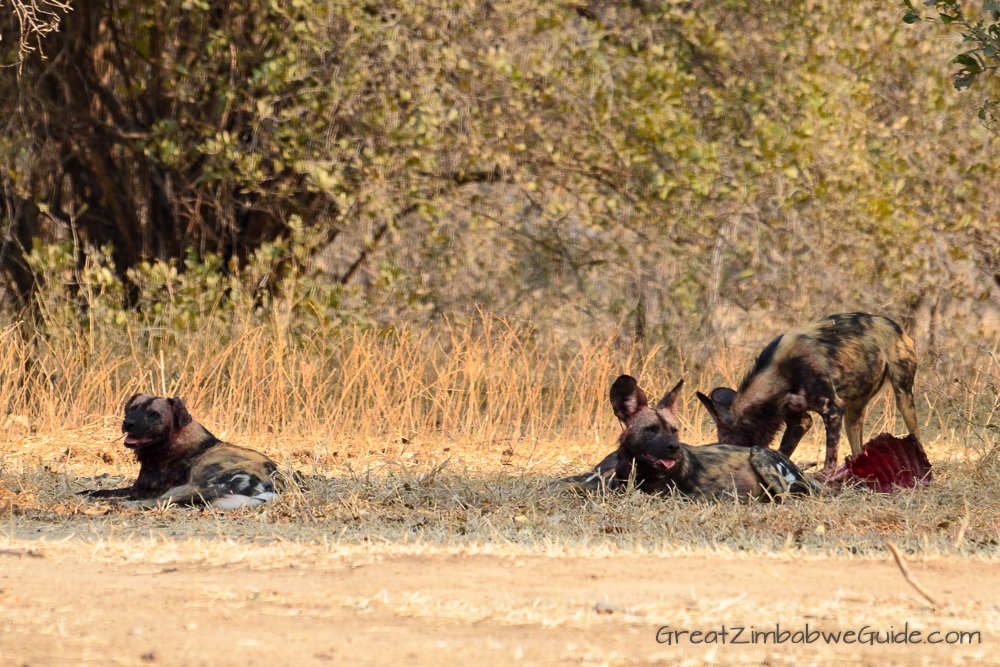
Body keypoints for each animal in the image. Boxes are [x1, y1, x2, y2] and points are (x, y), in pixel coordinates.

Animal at [80, 394, 286, 508]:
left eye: (155, 415)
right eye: (132, 408)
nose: (128, 423)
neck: (174, 441)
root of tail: (273, 483)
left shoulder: (139, 491)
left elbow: (101, 491)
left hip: (192, 487)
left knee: (158, 502)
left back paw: (120, 505)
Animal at [696, 312, 920, 474]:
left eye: (727, 444)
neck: (778, 371)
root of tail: (897, 327)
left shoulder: (832, 409)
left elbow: (830, 458)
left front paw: (825, 477)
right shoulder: (798, 420)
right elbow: (783, 451)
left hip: (903, 398)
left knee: (915, 435)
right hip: (854, 412)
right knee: (858, 447)